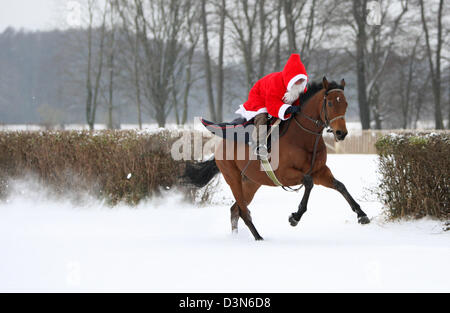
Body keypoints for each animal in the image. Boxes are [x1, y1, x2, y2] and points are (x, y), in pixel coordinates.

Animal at [183, 77, 370, 240]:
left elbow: (340, 186)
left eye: (345, 103)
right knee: (243, 211)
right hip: (233, 178)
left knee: (235, 210)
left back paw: (238, 237)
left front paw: (362, 214)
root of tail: (220, 145)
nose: (341, 133)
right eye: (330, 103)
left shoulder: (320, 171)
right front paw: (295, 217)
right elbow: (308, 183)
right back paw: (258, 238)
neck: (303, 138)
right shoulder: (283, 174)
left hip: (251, 182)